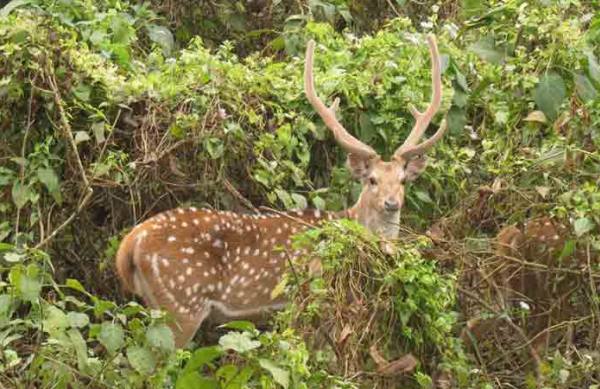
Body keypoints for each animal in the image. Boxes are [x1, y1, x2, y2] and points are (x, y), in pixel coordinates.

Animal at [115, 35, 448, 346]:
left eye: (403, 181)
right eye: (372, 180)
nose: (392, 203)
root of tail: (130, 244)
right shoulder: (315, 292)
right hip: (182, 302)